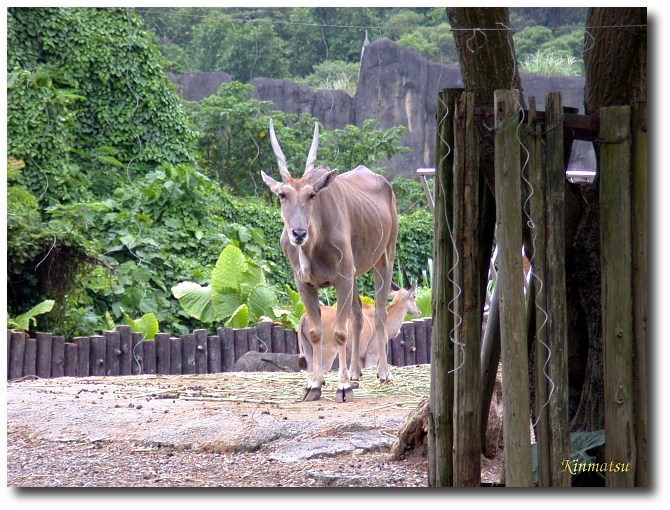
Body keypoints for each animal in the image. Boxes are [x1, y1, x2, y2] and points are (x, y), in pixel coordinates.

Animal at [262, 120, 400, 402]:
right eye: (282, 194)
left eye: (312, 195)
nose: (298, 233)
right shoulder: (305, 284)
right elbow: (317, 332)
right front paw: (314, 385)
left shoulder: (342, 278)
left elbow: (338, 332)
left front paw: (342, 387)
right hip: (356, 273)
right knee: (358, 315)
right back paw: (356, 373)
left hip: (384, 259)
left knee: (380, 313)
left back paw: (382, 373)